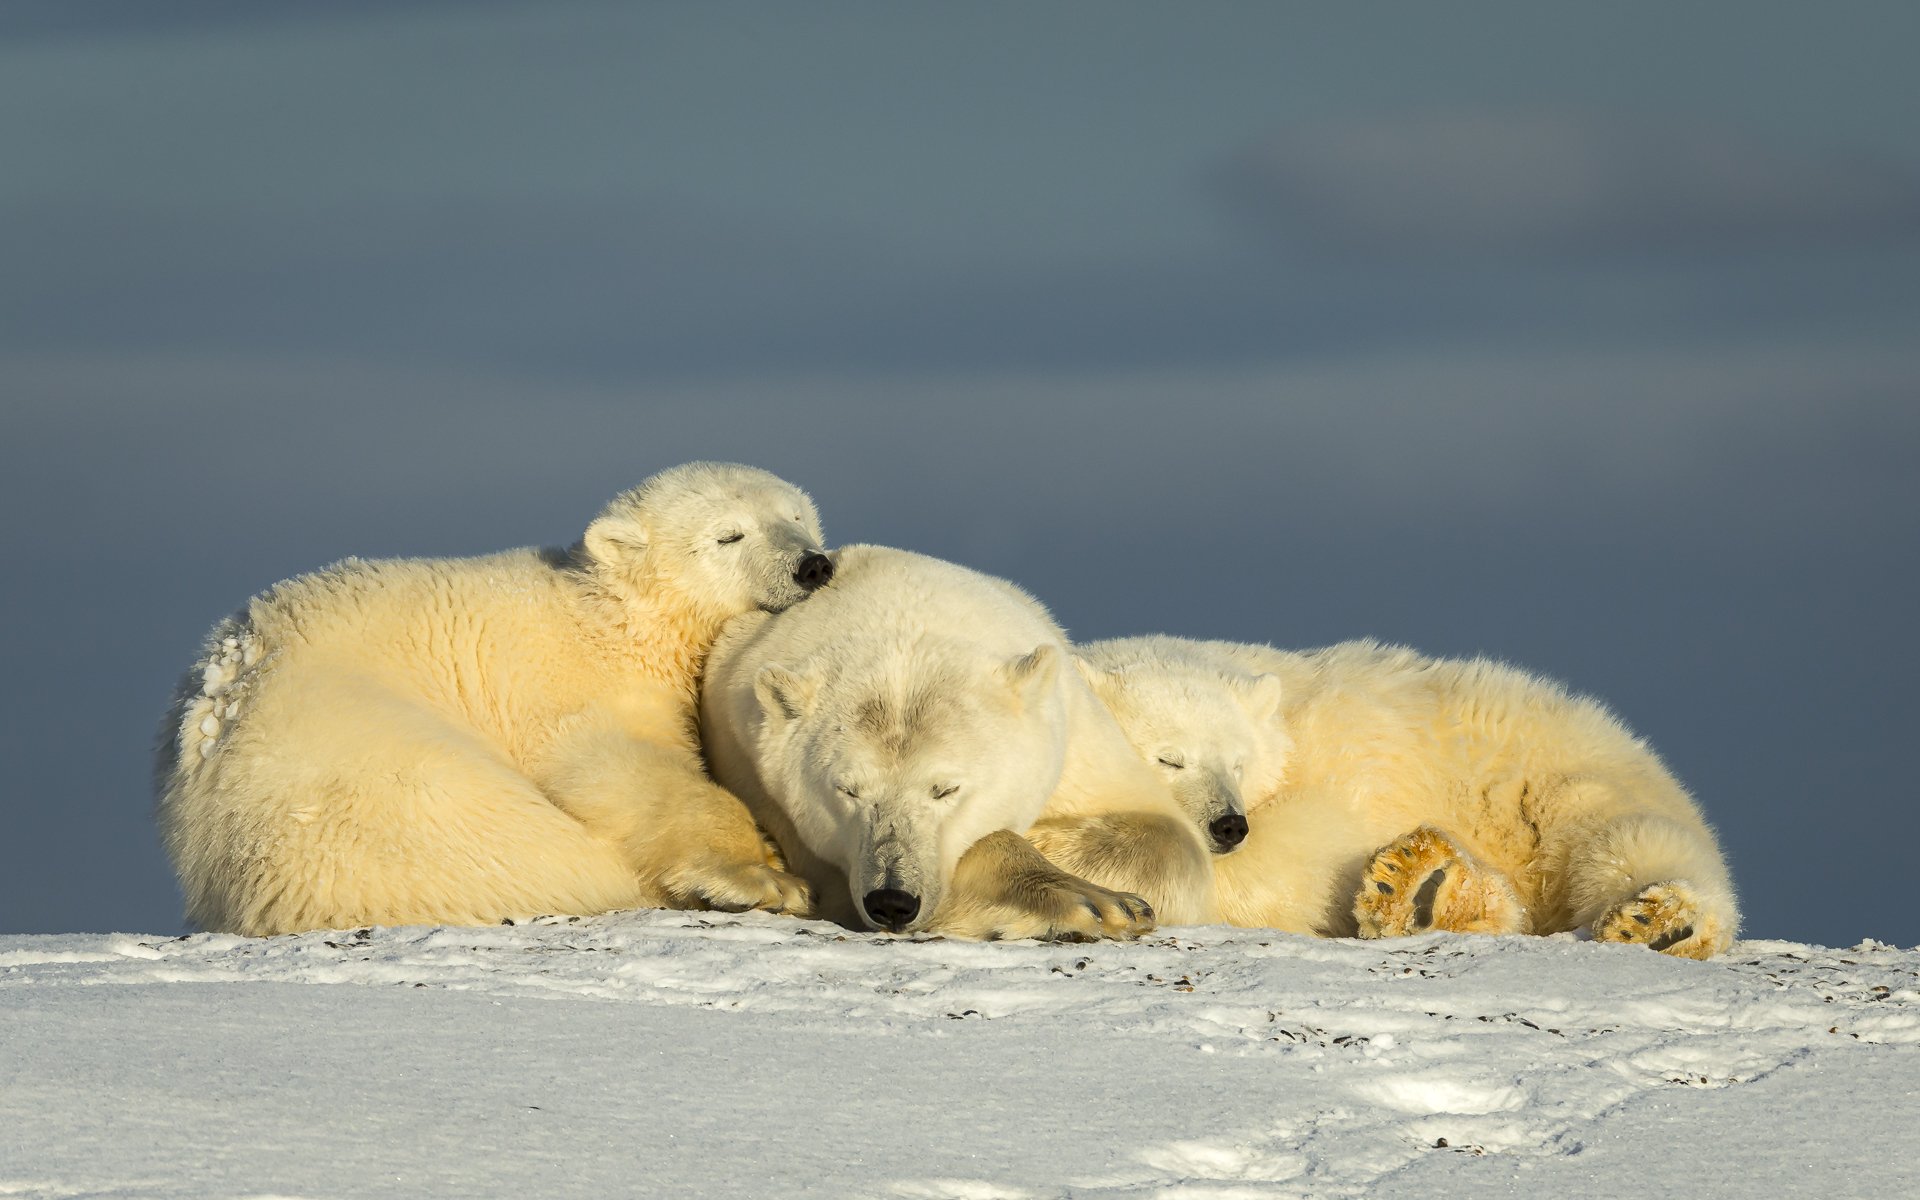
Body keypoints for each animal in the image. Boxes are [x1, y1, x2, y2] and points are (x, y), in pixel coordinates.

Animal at [155, 461, 833, 936]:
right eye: (729, 535)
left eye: (798, 516)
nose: (812, 566)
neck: (612, 616)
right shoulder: (566, 684)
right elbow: (622, 768)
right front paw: (767, 877)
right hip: (377, 776)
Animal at [699, 545, 1214, 940]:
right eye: (848, 791)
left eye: (946, 789)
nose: (891, 900)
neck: (902, 610)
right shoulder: (756, 769)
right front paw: (1089, 902)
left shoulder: (1075, 734)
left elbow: (1170, 837)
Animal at [1074, 635, 1740, 959]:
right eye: (1169, 757)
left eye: (1239, 760)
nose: (1228, 825)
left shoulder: (1333, 766)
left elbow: (1313, 846)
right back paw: (1431, 892)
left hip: (1554, 782)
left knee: (1628, 839)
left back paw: (1659, 922)